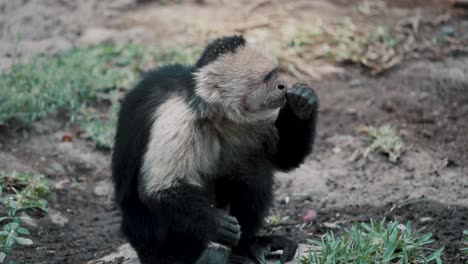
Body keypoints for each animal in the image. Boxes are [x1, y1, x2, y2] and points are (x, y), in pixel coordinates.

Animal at [112, 35, 318, 264]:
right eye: (267, 78)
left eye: (276, 73)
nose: (282, 85)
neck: (217, 114)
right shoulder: (179, 118)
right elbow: (160, 189)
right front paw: (216, 224)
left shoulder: (255, 119)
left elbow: (284, 158)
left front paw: (301, 102)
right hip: (146, 235)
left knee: (252, 168)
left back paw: (249, 245)